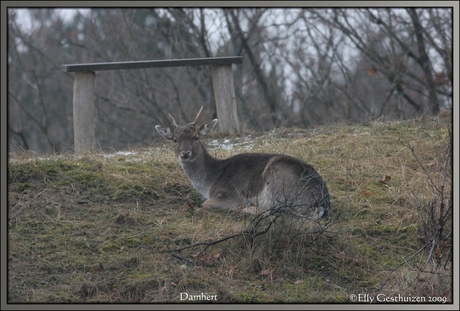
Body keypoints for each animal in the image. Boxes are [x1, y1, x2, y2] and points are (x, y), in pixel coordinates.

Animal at [155, 108, 330, 221]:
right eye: (174, 139)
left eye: (196, 137)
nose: (185, 153)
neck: (210, 181)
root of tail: (322, 203)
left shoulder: (231, 194)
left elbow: (205, 204)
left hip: (279, 181)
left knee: (277, 211)